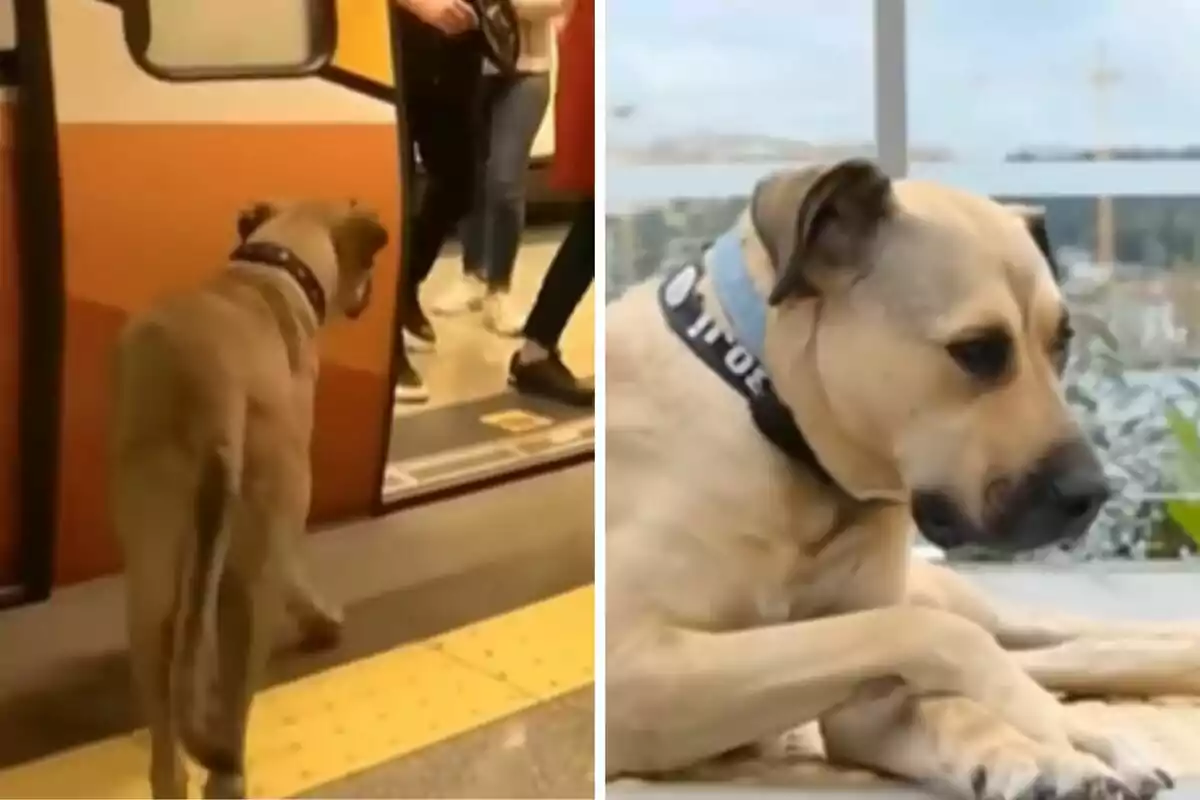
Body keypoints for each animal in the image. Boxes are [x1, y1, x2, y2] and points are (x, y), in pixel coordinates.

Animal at [111, 200, 386, 800]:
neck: (270, 272)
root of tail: (212, 393)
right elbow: (301, 576)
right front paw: (323, 620)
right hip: (254, 576)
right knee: (232, 723)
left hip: (150, 556)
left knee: (168, 734)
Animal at [604, 158, 1200, 800]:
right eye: (978, 350)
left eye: (1061, 344)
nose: (1091, 495)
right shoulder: (634, 671)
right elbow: (934, 640)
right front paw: (1056, 744)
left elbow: (941, 667)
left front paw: (1069, 741)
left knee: (1068, 638)